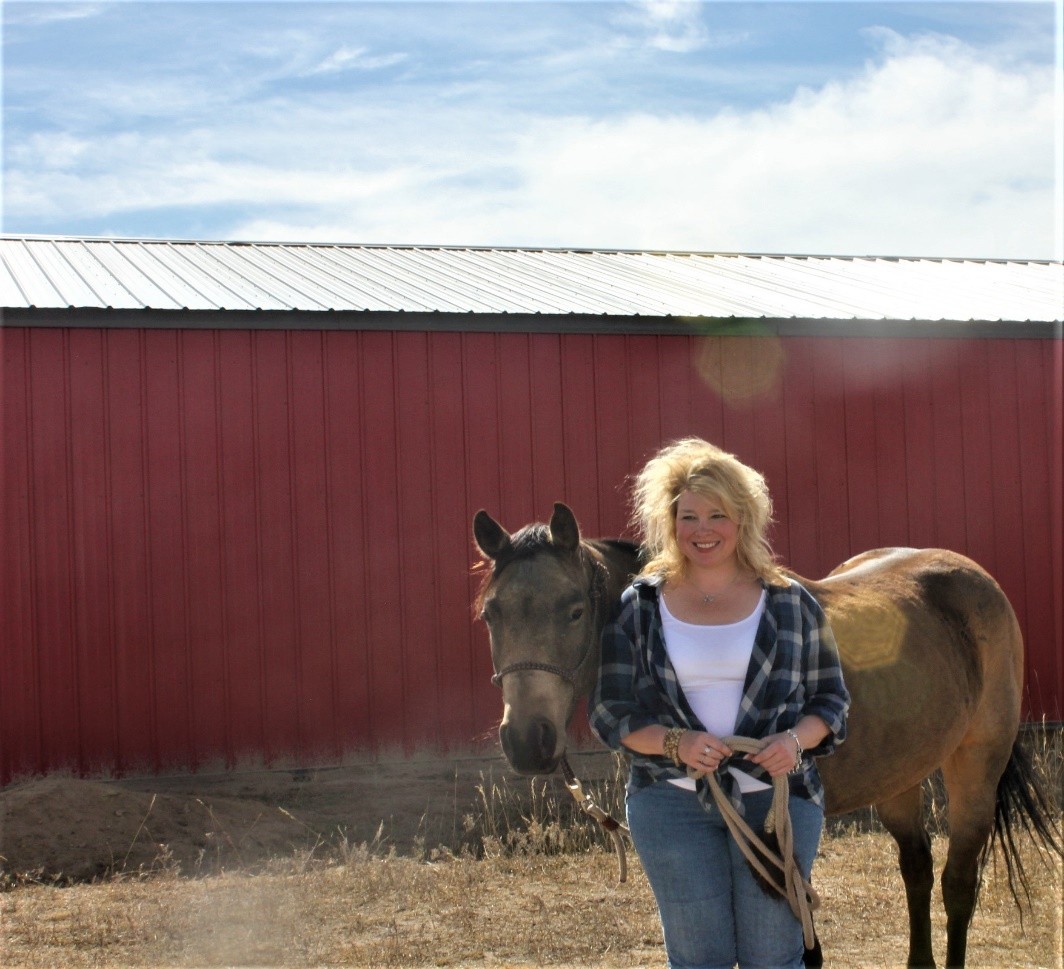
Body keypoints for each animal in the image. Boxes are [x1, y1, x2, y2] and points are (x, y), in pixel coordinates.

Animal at [476, 504, 1064, 965]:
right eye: (490, 614)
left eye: (575, 610)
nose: (527, 741)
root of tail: (973, 577)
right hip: (900, 776)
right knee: (916, 869)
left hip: (976, 765)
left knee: (958, 883)